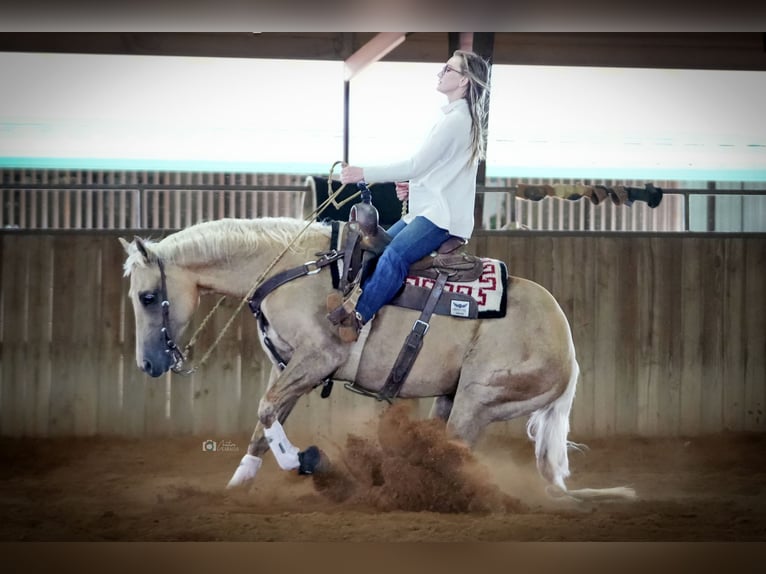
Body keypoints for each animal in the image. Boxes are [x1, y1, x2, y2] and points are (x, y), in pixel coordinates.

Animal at [121, 218, 636, 502]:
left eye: (147, 297)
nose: (148, 366)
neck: (293, 268)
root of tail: (566, 344)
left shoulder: (318, 358)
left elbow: (266, 413)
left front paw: (307, 461)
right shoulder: (289, 367)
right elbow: (264, 424)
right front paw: (236, 487)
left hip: (479, 399)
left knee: (456, 456)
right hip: (452, 398)